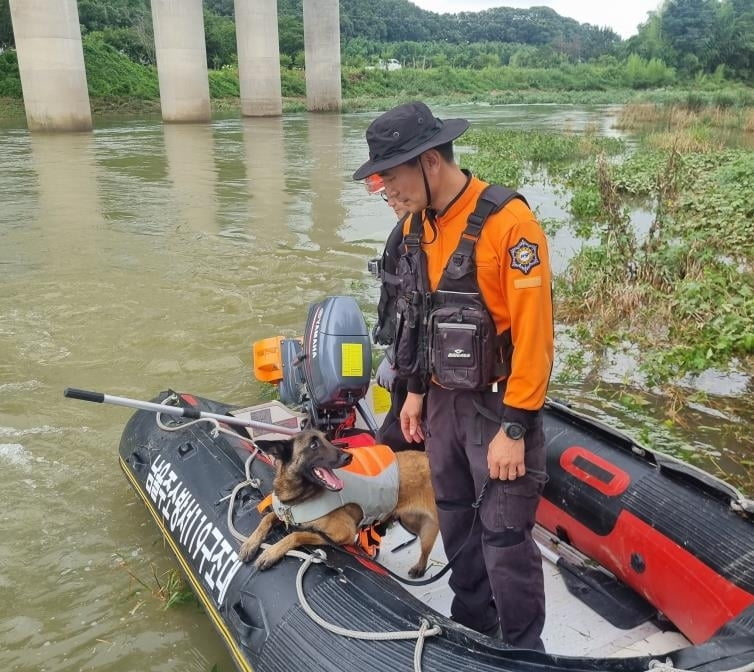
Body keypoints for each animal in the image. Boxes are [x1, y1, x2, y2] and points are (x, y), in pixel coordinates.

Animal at [238, 428, 438, 576]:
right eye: (314, 445)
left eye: (328, 439)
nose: (348, 457)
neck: (298, 498)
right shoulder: (287, 515)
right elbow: (267, 518)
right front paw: (250, 543)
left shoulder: (341, 534)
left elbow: (296, 535)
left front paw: (270, 553)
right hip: (412, 522)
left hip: (430, 527)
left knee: (427, 549)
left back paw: (420, 569)